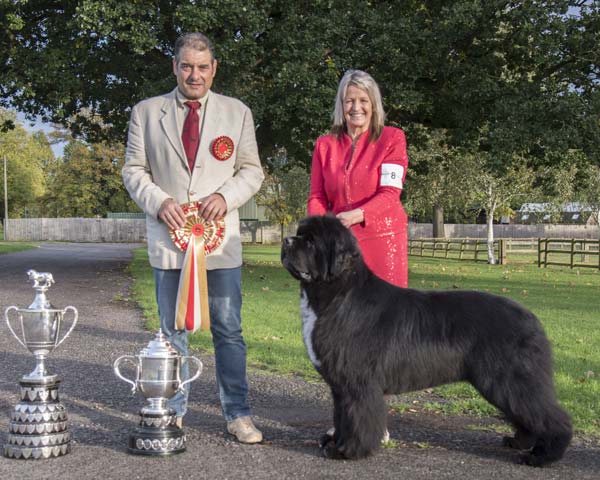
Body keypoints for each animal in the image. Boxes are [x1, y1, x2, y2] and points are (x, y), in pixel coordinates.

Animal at [282, 216, 572, 466]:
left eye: (311, 241)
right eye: (299, 233)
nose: (286, 241)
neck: (339, 294)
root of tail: (532, 319)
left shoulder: (358, 382)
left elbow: (357, 418)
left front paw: (348, 451)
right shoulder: (341, 384)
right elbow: (342, 416)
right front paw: (336, 443)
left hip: (511, 379)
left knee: (550, 416)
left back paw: (542, 455)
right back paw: (519, 442)